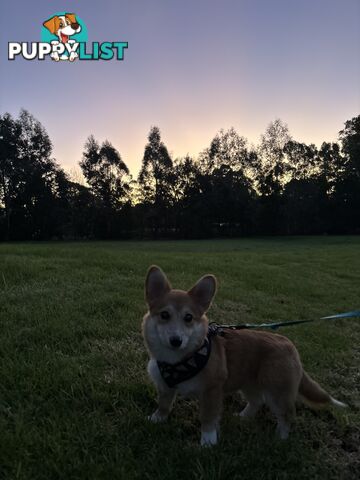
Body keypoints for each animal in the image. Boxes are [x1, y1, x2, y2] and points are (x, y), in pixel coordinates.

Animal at [142, 266, 348, 446]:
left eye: (188, 318)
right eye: (164, 315)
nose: (176, 341)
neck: (182, 360)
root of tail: (289, 345)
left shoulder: (211, 391)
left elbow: (208, 418)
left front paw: (208, 442)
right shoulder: (165, 386)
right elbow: (164, 405)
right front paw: (156, 419)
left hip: (278, 392)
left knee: (287, 415)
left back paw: (280, 439)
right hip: (249, 383)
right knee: (256, 401)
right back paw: (243, 417)